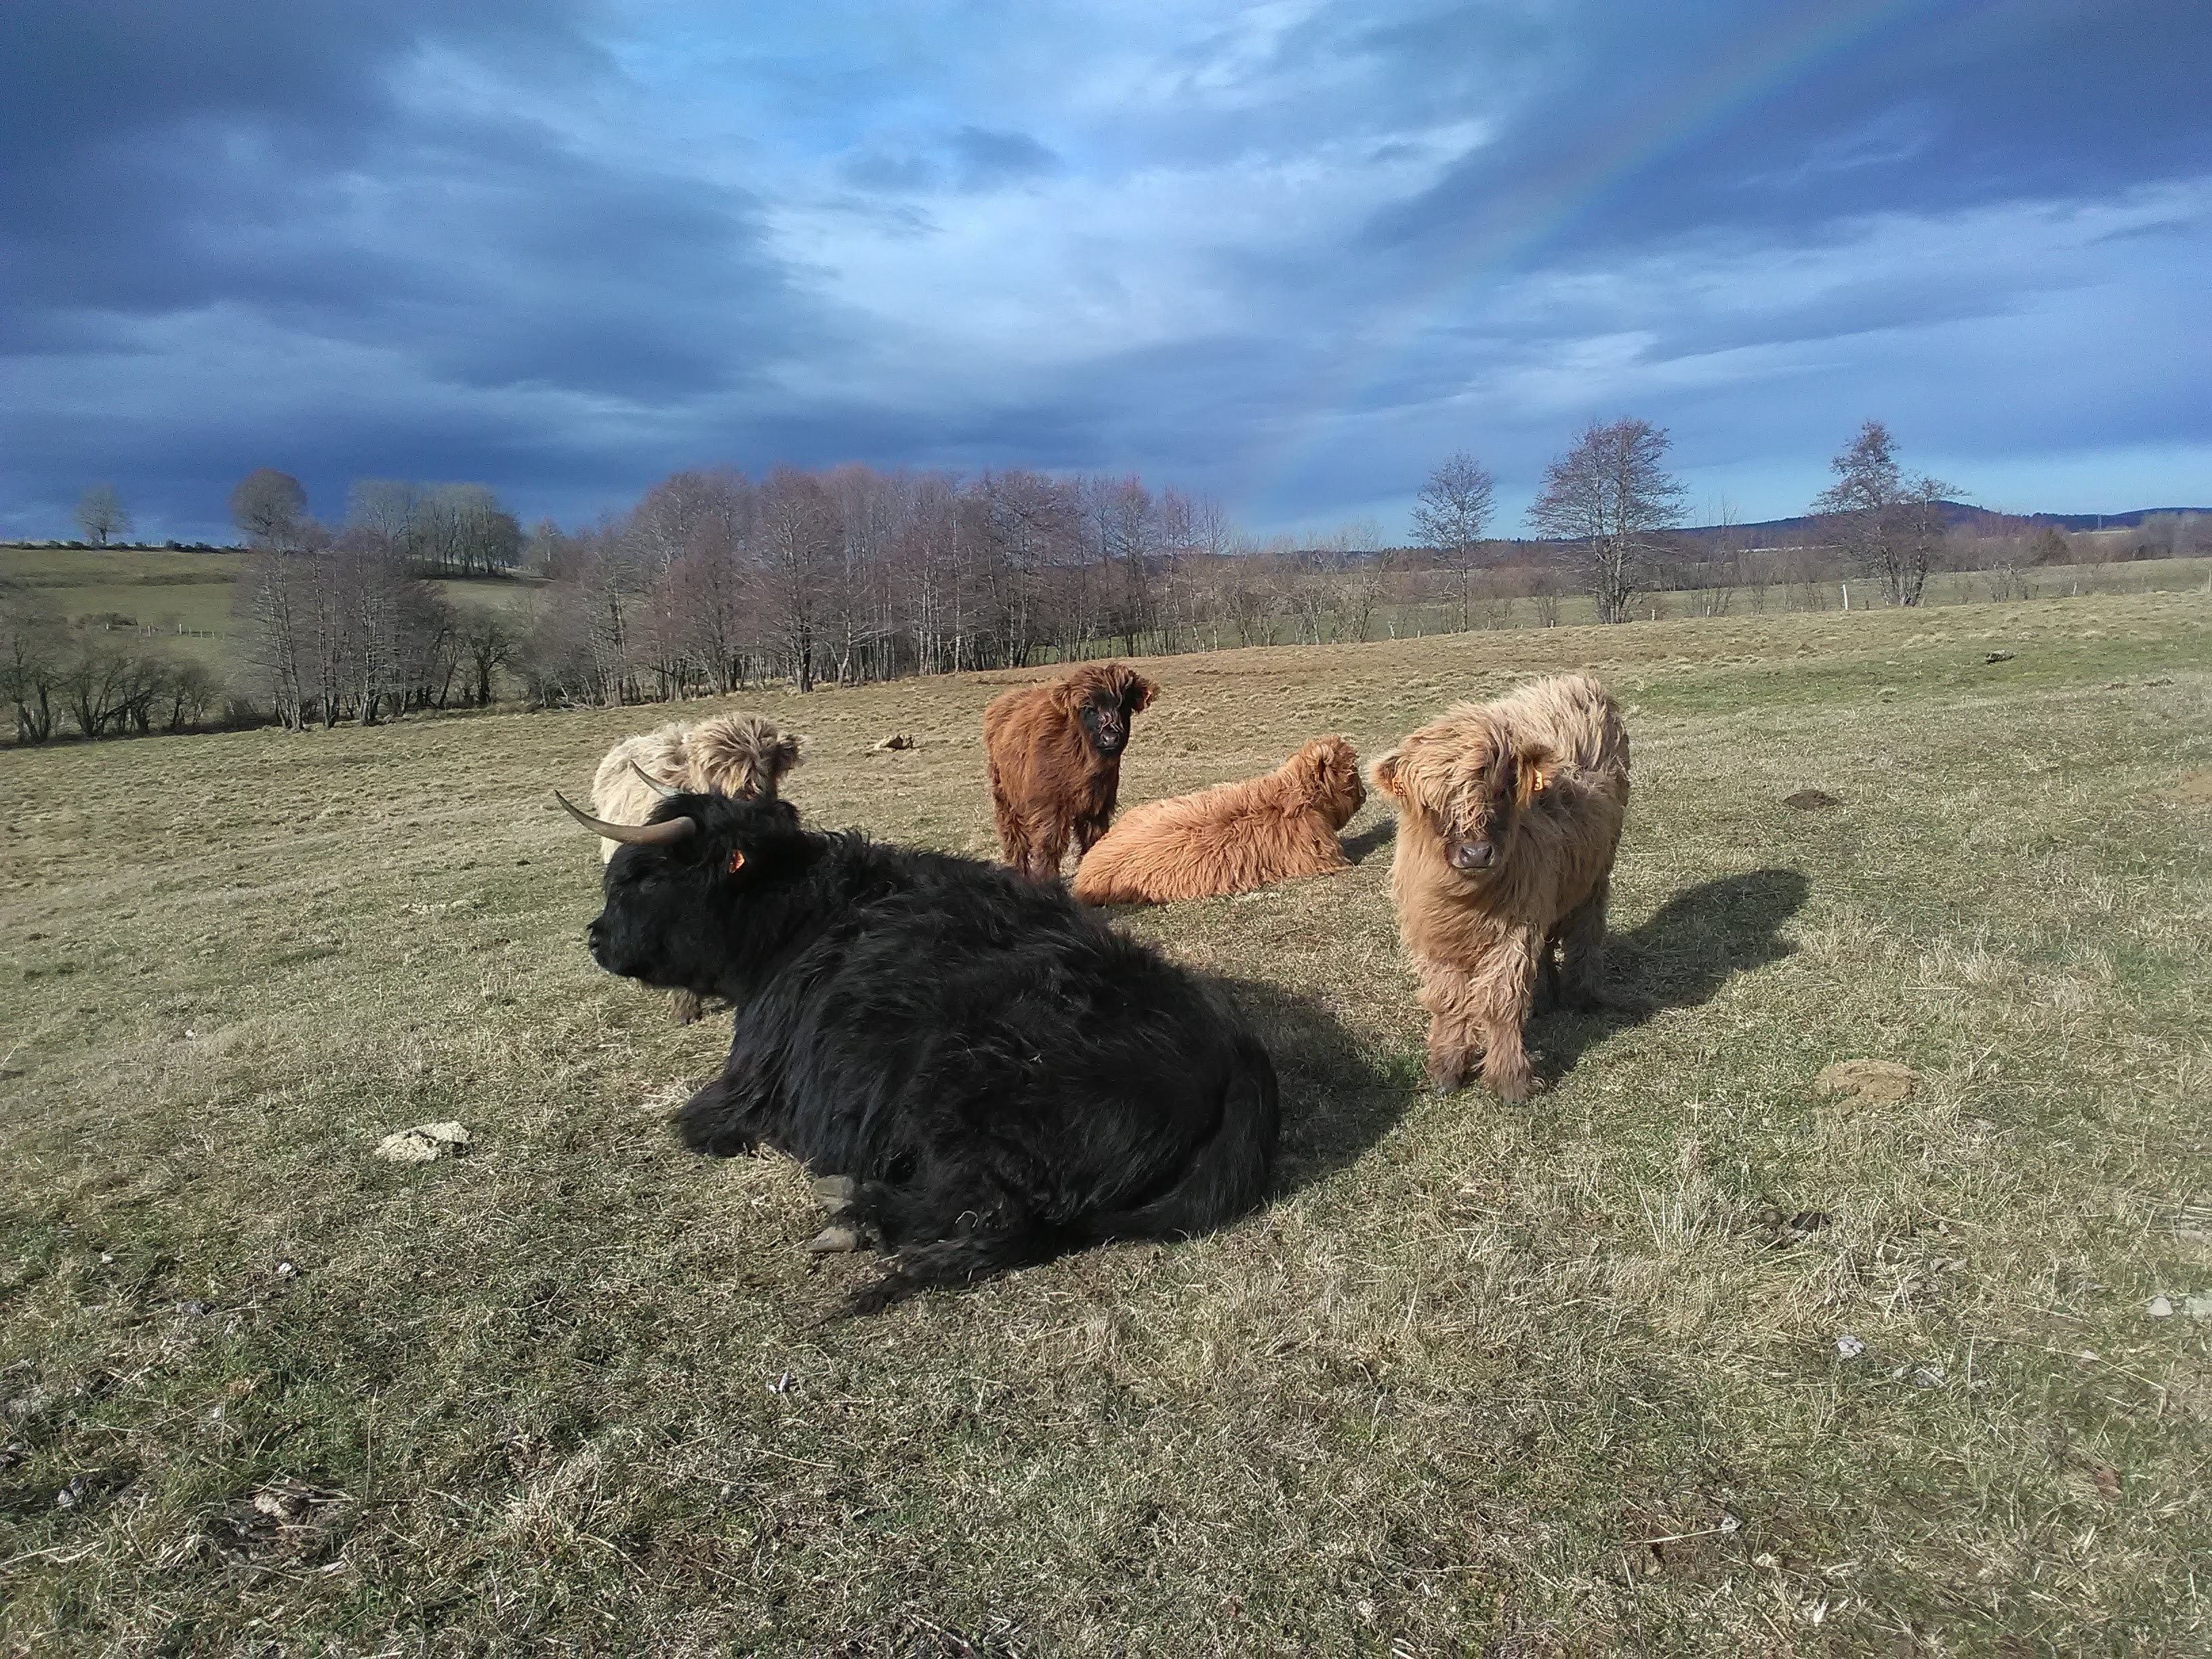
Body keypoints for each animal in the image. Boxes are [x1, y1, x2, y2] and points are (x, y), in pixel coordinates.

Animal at [553, 787, 1283, 1309]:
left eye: (646, 878)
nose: (595, 940)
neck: (797, 921)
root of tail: (1234, 1060)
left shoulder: (748, 1083)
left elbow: (694, 1120)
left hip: (968, 1092)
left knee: (994, 1214)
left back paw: (856, 1217)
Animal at [982, 663, 1159, 884]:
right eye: (1088, 709)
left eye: (1122, 706)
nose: (1110, 738)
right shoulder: (1049, 807)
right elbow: (1049, 846)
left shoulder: (1097, 806)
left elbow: (1094, 840)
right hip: (1005, 798)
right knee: (1015, 839)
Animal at [1371, 676, 1637, 1106]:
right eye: (1431, 801)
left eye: (1501, 789)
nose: (1476, 853)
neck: (1467, 900)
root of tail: (1572, 683)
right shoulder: (1433, 936)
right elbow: (1447, 1000)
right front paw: (1447, 1069)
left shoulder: (1515, 930)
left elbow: (1501, 1001)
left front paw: (1510, 1080)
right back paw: (1546, 995)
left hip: (1597, 874)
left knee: (1587, 931)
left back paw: (1582, 995)